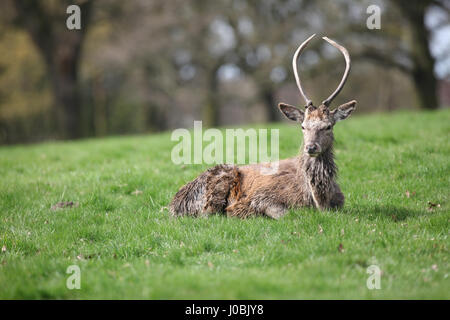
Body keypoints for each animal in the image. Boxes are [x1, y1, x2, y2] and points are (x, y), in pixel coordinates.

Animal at [169, 35, 356, 220]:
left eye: (328, 126)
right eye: (303, 126)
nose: (311, 147)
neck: (318, 202)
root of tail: (172, 204)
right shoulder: (262, 198)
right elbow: (285, 214)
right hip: (218, 181)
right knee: (208, 215)